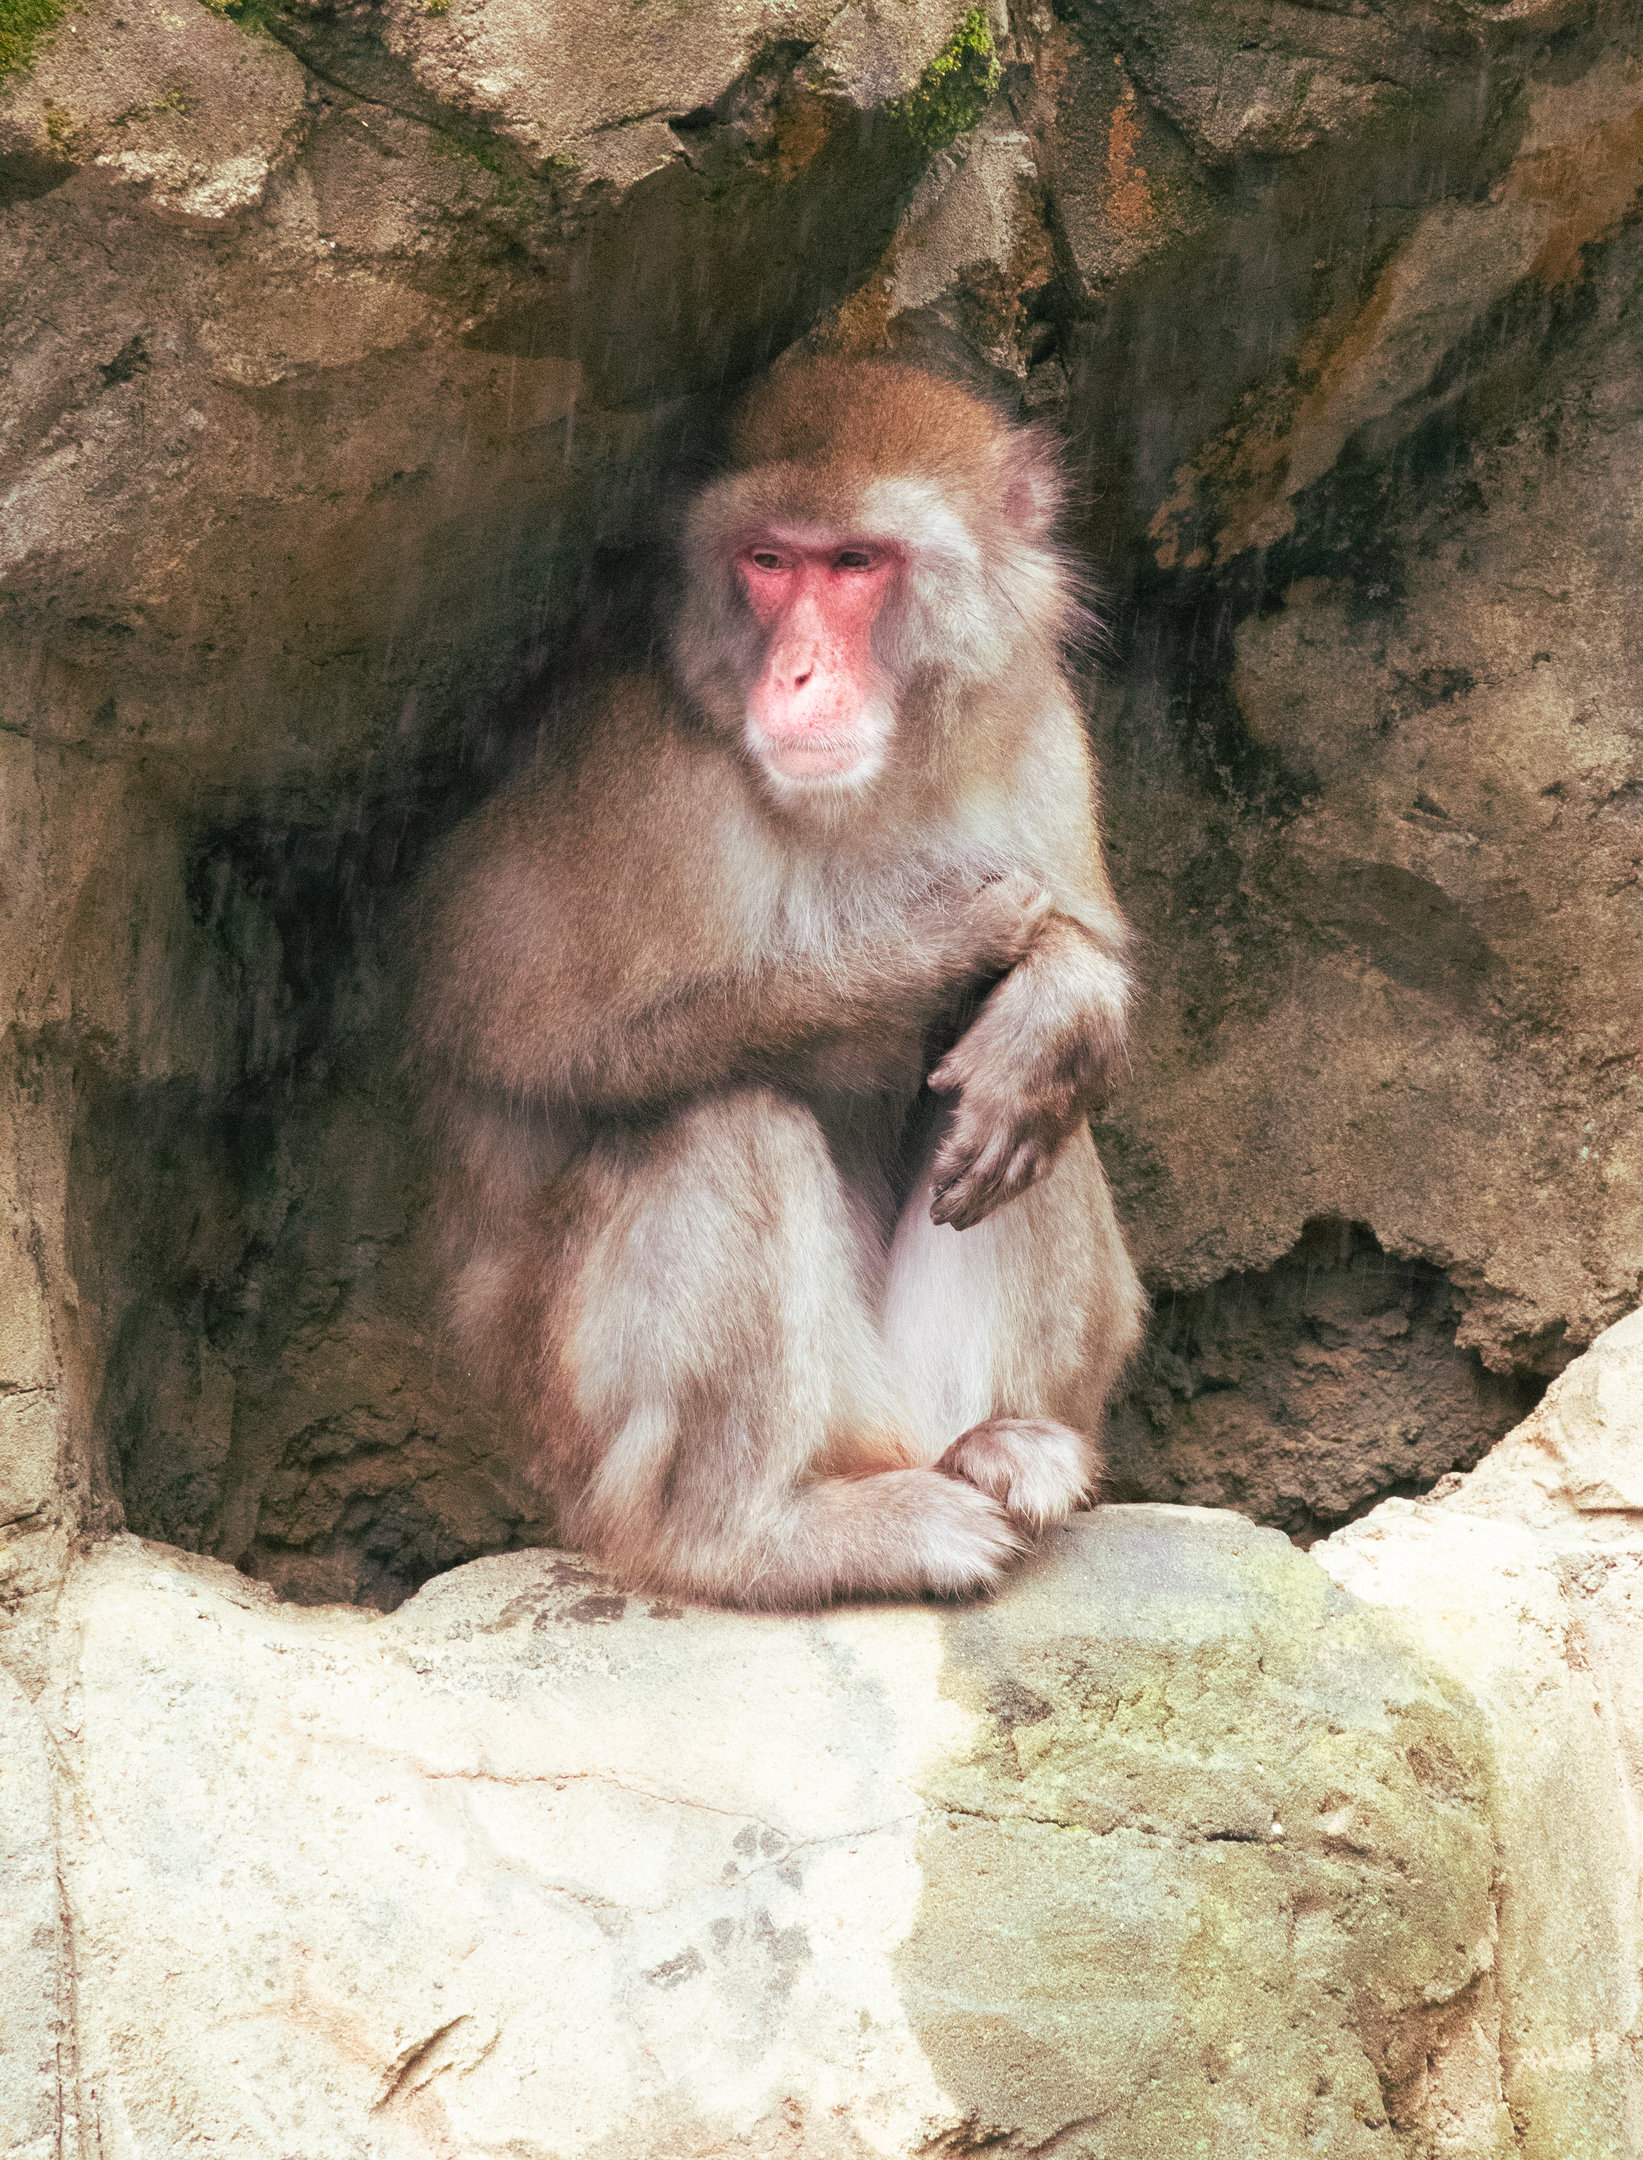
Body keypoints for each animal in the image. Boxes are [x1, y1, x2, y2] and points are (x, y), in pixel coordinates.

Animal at [411, 358, 1146, 1609]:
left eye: (852, 563)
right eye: (766, 561)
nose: (796, 670)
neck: (874, 788)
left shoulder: (1038, 721)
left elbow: (1067, 983)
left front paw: (1059, 999)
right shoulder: (639, 778)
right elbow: (540, 1047)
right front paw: (931, 941)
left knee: (1019, 1121)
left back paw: (1007, 1446)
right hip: (586, 1444)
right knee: (727, 1120)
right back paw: (755, 1536)